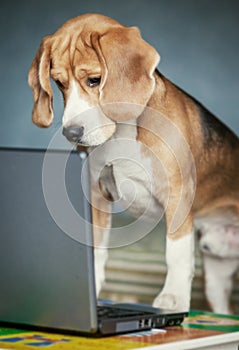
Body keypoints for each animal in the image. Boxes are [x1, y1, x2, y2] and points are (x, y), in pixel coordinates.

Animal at [28, 13, 239, 312]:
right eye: (59, 83)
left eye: (94, 80)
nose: (71, 133)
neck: (122, 131)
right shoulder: (97, 197)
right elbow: (96, 250)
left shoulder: (178, 194)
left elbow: (176, 252)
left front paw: (173, 297)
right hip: (217, 277)